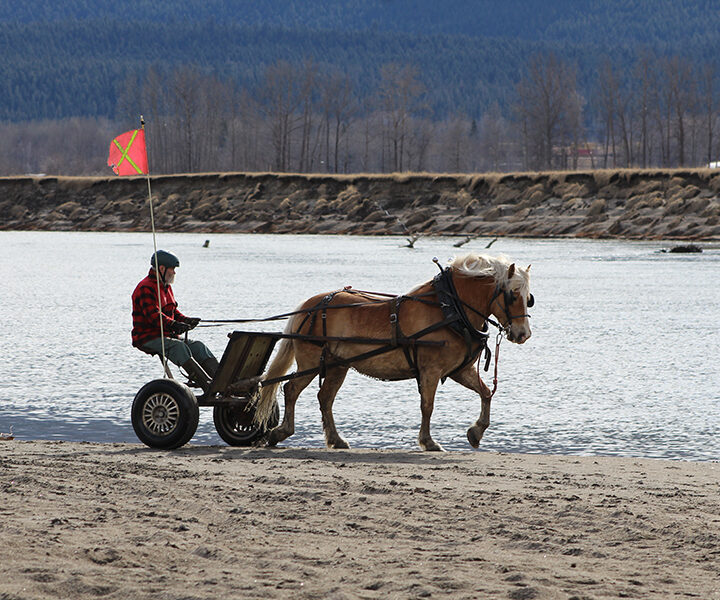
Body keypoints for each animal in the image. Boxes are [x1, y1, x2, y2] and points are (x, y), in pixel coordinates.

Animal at [256, 251, 532, 452]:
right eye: (512, 295)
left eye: (529, 298)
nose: (523, 334)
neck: (448, 308)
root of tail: (309, 306)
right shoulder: (430, 370)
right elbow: (427, 405)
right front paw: (428, 442)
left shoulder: (459, 370)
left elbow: (485, 393)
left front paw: (476, 432)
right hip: (311, 360)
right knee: (291, 389)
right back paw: (281, 432)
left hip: (338, 365)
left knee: (325, 398)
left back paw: (336, 439)